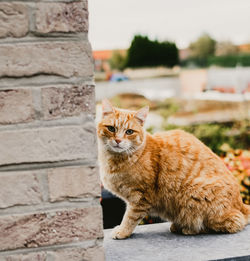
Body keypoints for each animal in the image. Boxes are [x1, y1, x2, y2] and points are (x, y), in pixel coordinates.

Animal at [96, 99, 249, 238]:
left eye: (129, 132)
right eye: (111, 128)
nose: (118, 140)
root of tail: (242, 205)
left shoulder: (140, 197)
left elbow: (130, 218)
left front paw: (122, 232)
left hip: (194, 194)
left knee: (233, 223)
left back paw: (189, 229)